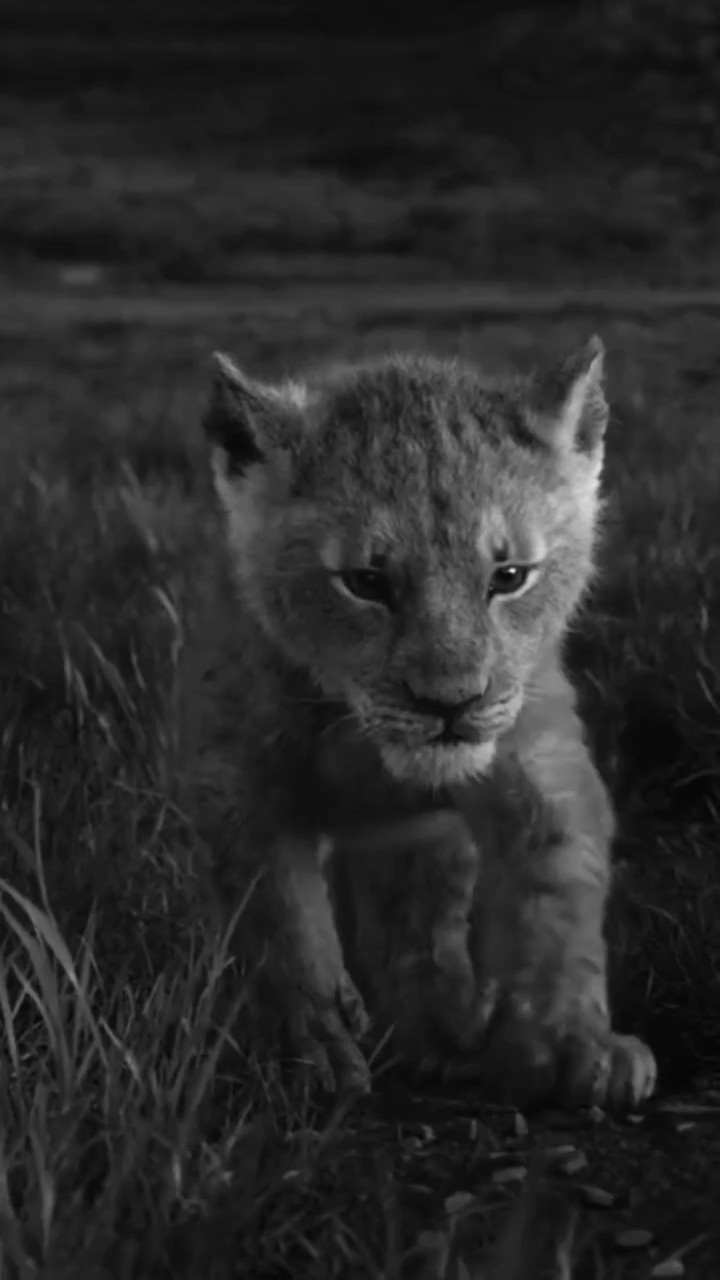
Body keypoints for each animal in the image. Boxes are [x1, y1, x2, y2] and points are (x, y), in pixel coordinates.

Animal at [175, 336, 656, 1110]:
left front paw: (574, 1047)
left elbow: (554, 901)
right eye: (366, 583)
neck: (364, 744)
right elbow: (281, 930)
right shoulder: (240, 788)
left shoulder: (535, 758)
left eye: (509, 576)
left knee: (419, 914)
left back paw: (442, 1034)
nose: (450, 703)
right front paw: (310, 1054)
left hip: (417, 842)